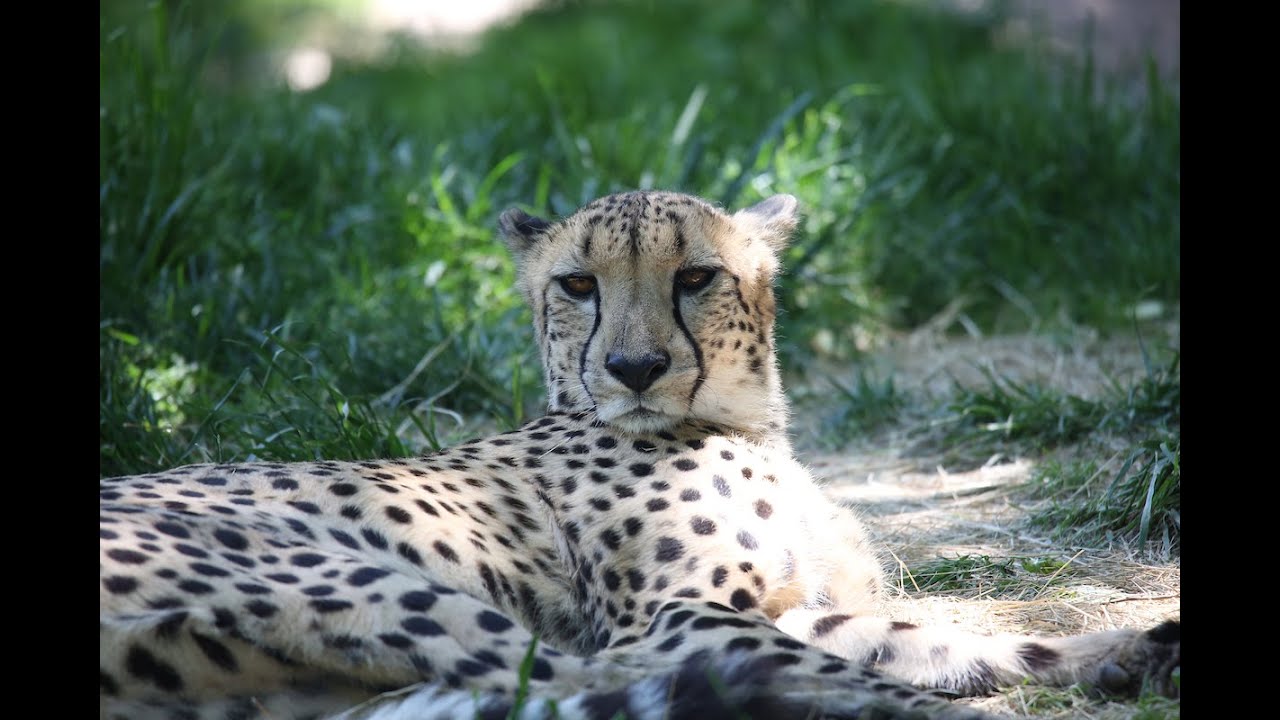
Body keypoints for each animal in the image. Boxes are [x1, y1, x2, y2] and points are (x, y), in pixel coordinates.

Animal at [100, 190, 1179, 720]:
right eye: (577, 285)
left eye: (695, 277)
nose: (632, 367)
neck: (746, 425)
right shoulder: (671, 616)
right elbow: (867, 663)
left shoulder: (782, 605)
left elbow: (935, 638)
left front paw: (1122, 651)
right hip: (379, 587)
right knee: (569, 685)